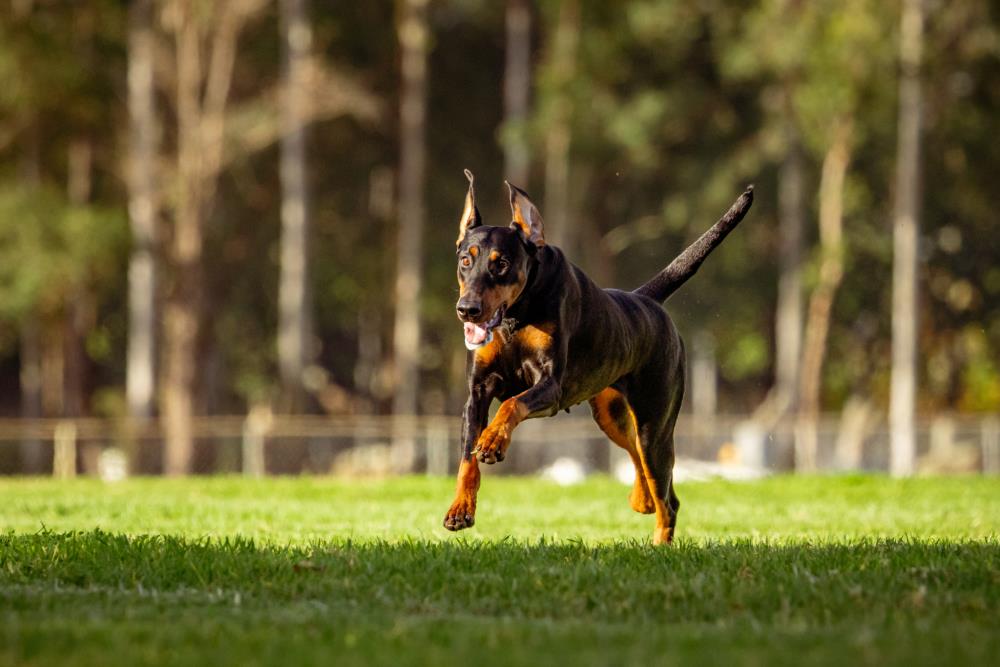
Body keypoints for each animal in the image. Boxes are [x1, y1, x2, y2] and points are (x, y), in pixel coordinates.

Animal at [444, 169, 753, 544]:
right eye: (465, 260)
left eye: (501, 263)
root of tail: (647, 300)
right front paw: (460, 509)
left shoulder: (550, 387)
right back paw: (641, 499)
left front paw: (492, 440)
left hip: (655, 424)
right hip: (610, 414)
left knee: (666, 494)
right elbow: (466, 459)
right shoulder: (477, 392)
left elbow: (512, 404)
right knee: (640, 461)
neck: (516, 315)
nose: (467, 310)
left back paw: (658, 541)